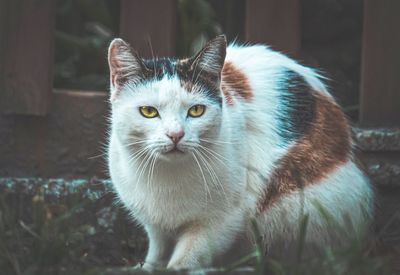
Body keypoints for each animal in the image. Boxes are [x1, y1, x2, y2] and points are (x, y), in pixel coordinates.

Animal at [107, 34, 376, 272]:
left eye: (196, 111)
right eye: (148, 112)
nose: (176, 134)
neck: (167, 177)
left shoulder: (223, 220)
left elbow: (189, 255)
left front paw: (175, 268)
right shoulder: (154, 224)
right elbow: (157, 248)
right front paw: (147, 267)